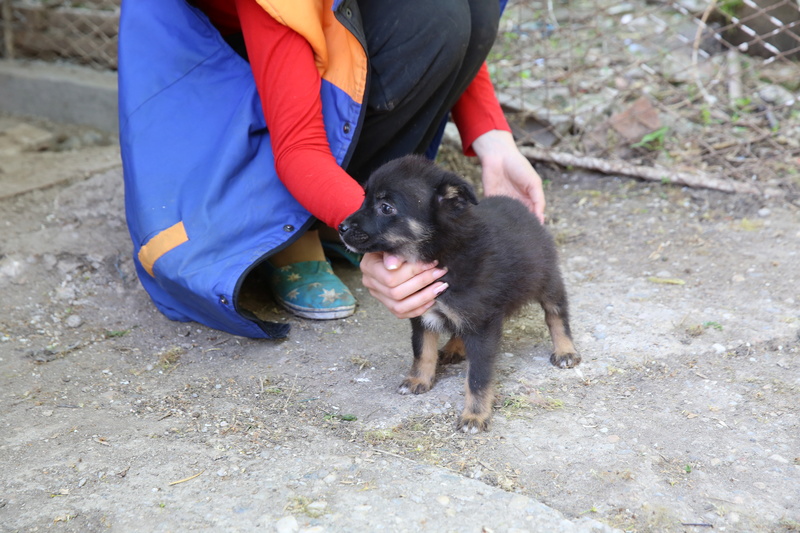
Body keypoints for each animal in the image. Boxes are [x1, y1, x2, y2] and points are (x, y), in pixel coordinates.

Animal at [340, 154, 580, 432]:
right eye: (364, 198)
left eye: (386, 207)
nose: (341, 227)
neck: (441, 250)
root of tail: (523, 209)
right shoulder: (423, 312)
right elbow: (422, 350)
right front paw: (418, 379)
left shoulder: (483, 325)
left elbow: (477, 377)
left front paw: (475, 415)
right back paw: (455, 347)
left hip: (547, 280)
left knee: (557, 314)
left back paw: (565, 350)